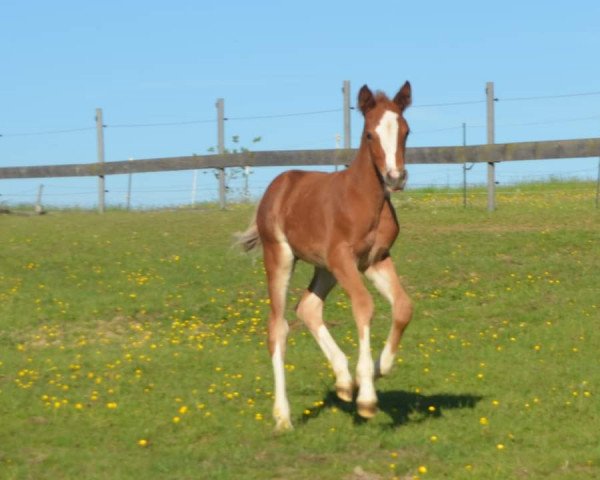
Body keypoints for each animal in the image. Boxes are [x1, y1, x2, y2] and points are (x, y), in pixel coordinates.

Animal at [238, 83, 412, 432]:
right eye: (370, 134)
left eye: (405, 130)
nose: (395, 176)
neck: (364, 200)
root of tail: (279, 184)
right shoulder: (343, 258)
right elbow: (364, 306)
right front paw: (367, 398)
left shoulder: (376, 260)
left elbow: (403, 306)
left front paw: (377, 370)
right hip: (281, 256)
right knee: (278, 326)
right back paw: (283, 416)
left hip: (326, 268)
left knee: (307, 307)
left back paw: (344, 380)